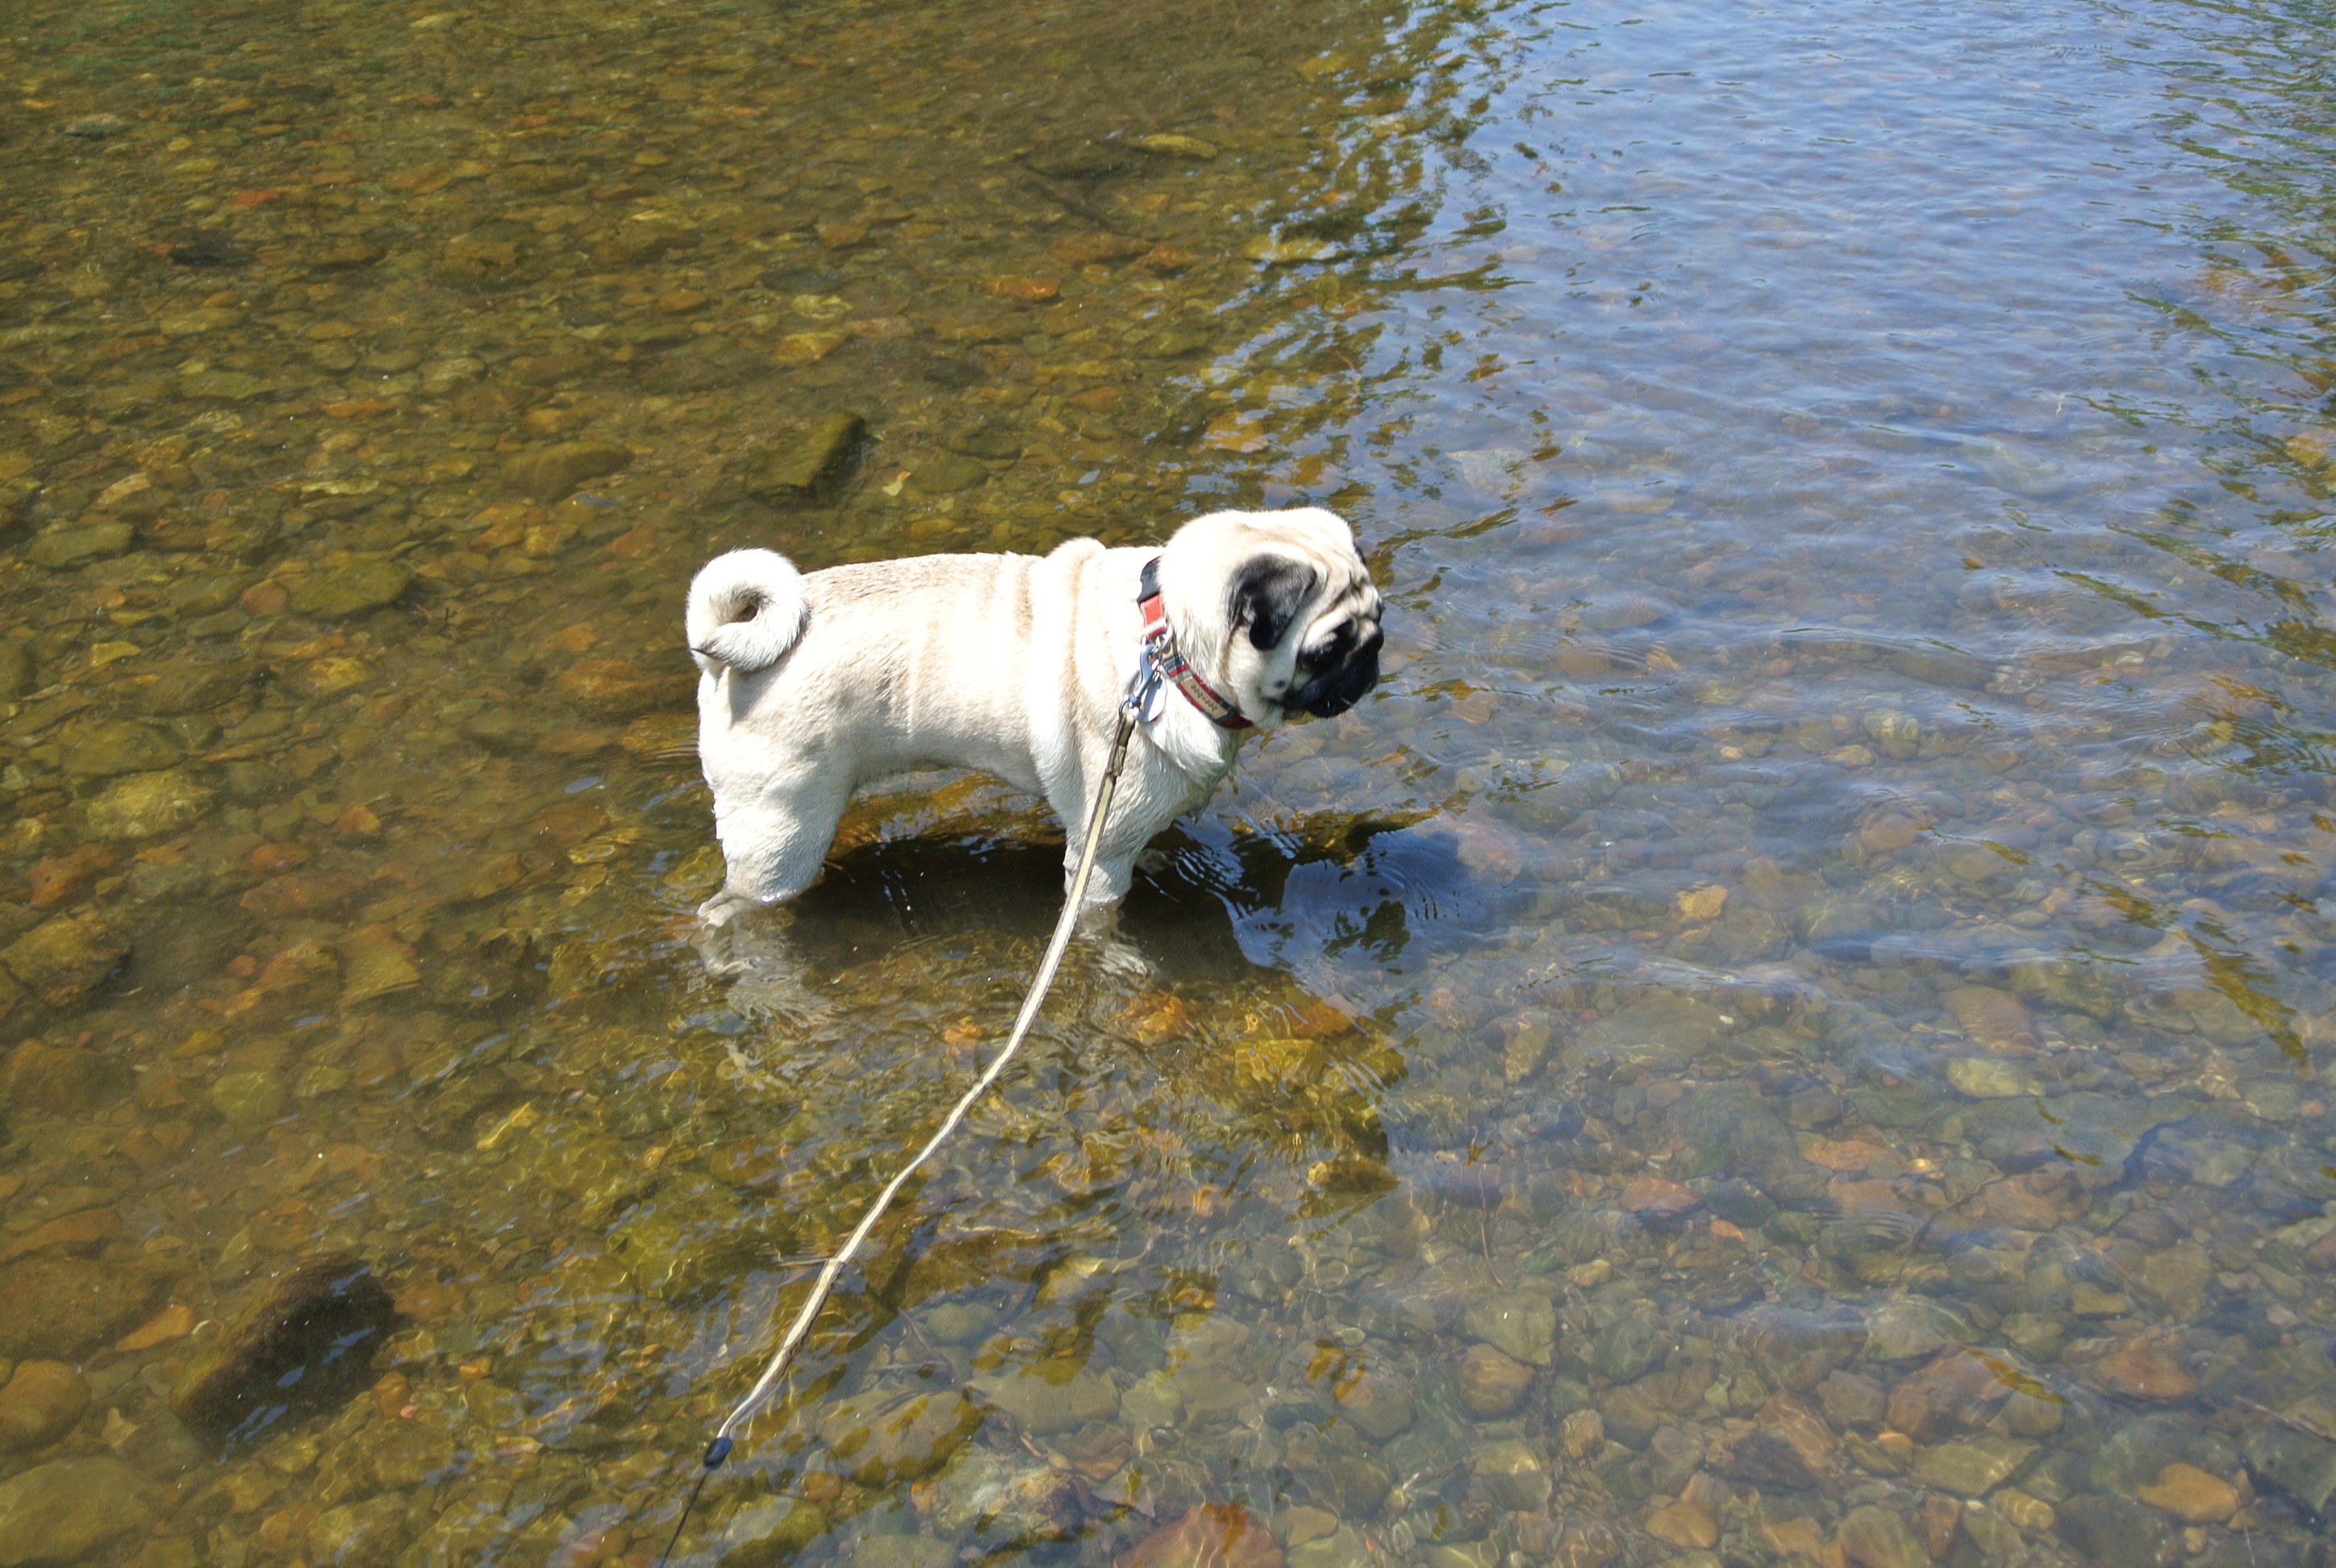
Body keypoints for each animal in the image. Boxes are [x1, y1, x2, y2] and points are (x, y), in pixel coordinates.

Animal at [686, 509, 1383, 925]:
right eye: (1327, 649)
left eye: (1378, 616)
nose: (1373, 655)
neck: (1172, 649)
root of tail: (728, 655)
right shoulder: (1099, 859)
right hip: (782, 835)